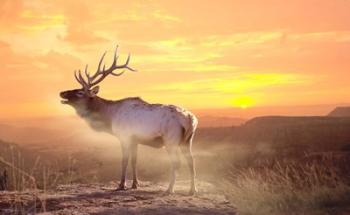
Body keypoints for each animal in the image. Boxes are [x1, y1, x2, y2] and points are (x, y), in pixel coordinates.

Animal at [59, 46, 197, 194]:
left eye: (80, 92)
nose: (62, 92)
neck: (110, 117)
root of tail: (190, 119)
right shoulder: (135, 139)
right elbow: (134, 161)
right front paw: (135, 184)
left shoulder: (124, 136)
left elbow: (124, 161)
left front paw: (121, 185)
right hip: (187, 141)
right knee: (191, 161)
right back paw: (192, 190)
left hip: (171, 139)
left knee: (177, 162)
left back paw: (170, 189)